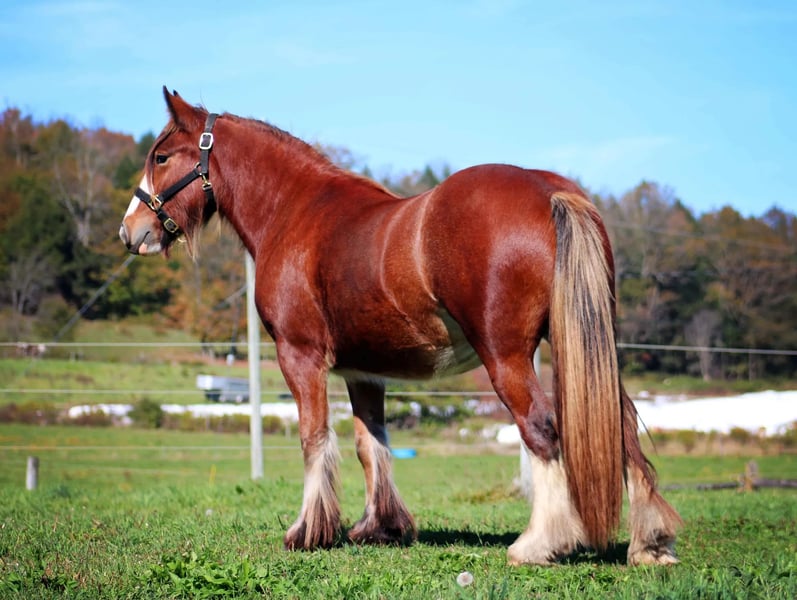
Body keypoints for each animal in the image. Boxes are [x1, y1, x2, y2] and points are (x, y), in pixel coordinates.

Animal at [119, 87, 681, 566]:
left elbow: (314, 437)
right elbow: (372, 444)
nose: (130, 231)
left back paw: (538, 544)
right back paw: (649, 544)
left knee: (541, 428)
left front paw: (308, 532)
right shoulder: (364, 370)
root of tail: (549, 191)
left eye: (162, 157)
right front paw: (380, 528)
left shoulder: (299, 355)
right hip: (588, 344)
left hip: (507, 356)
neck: (296, 212)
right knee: (622, 425)